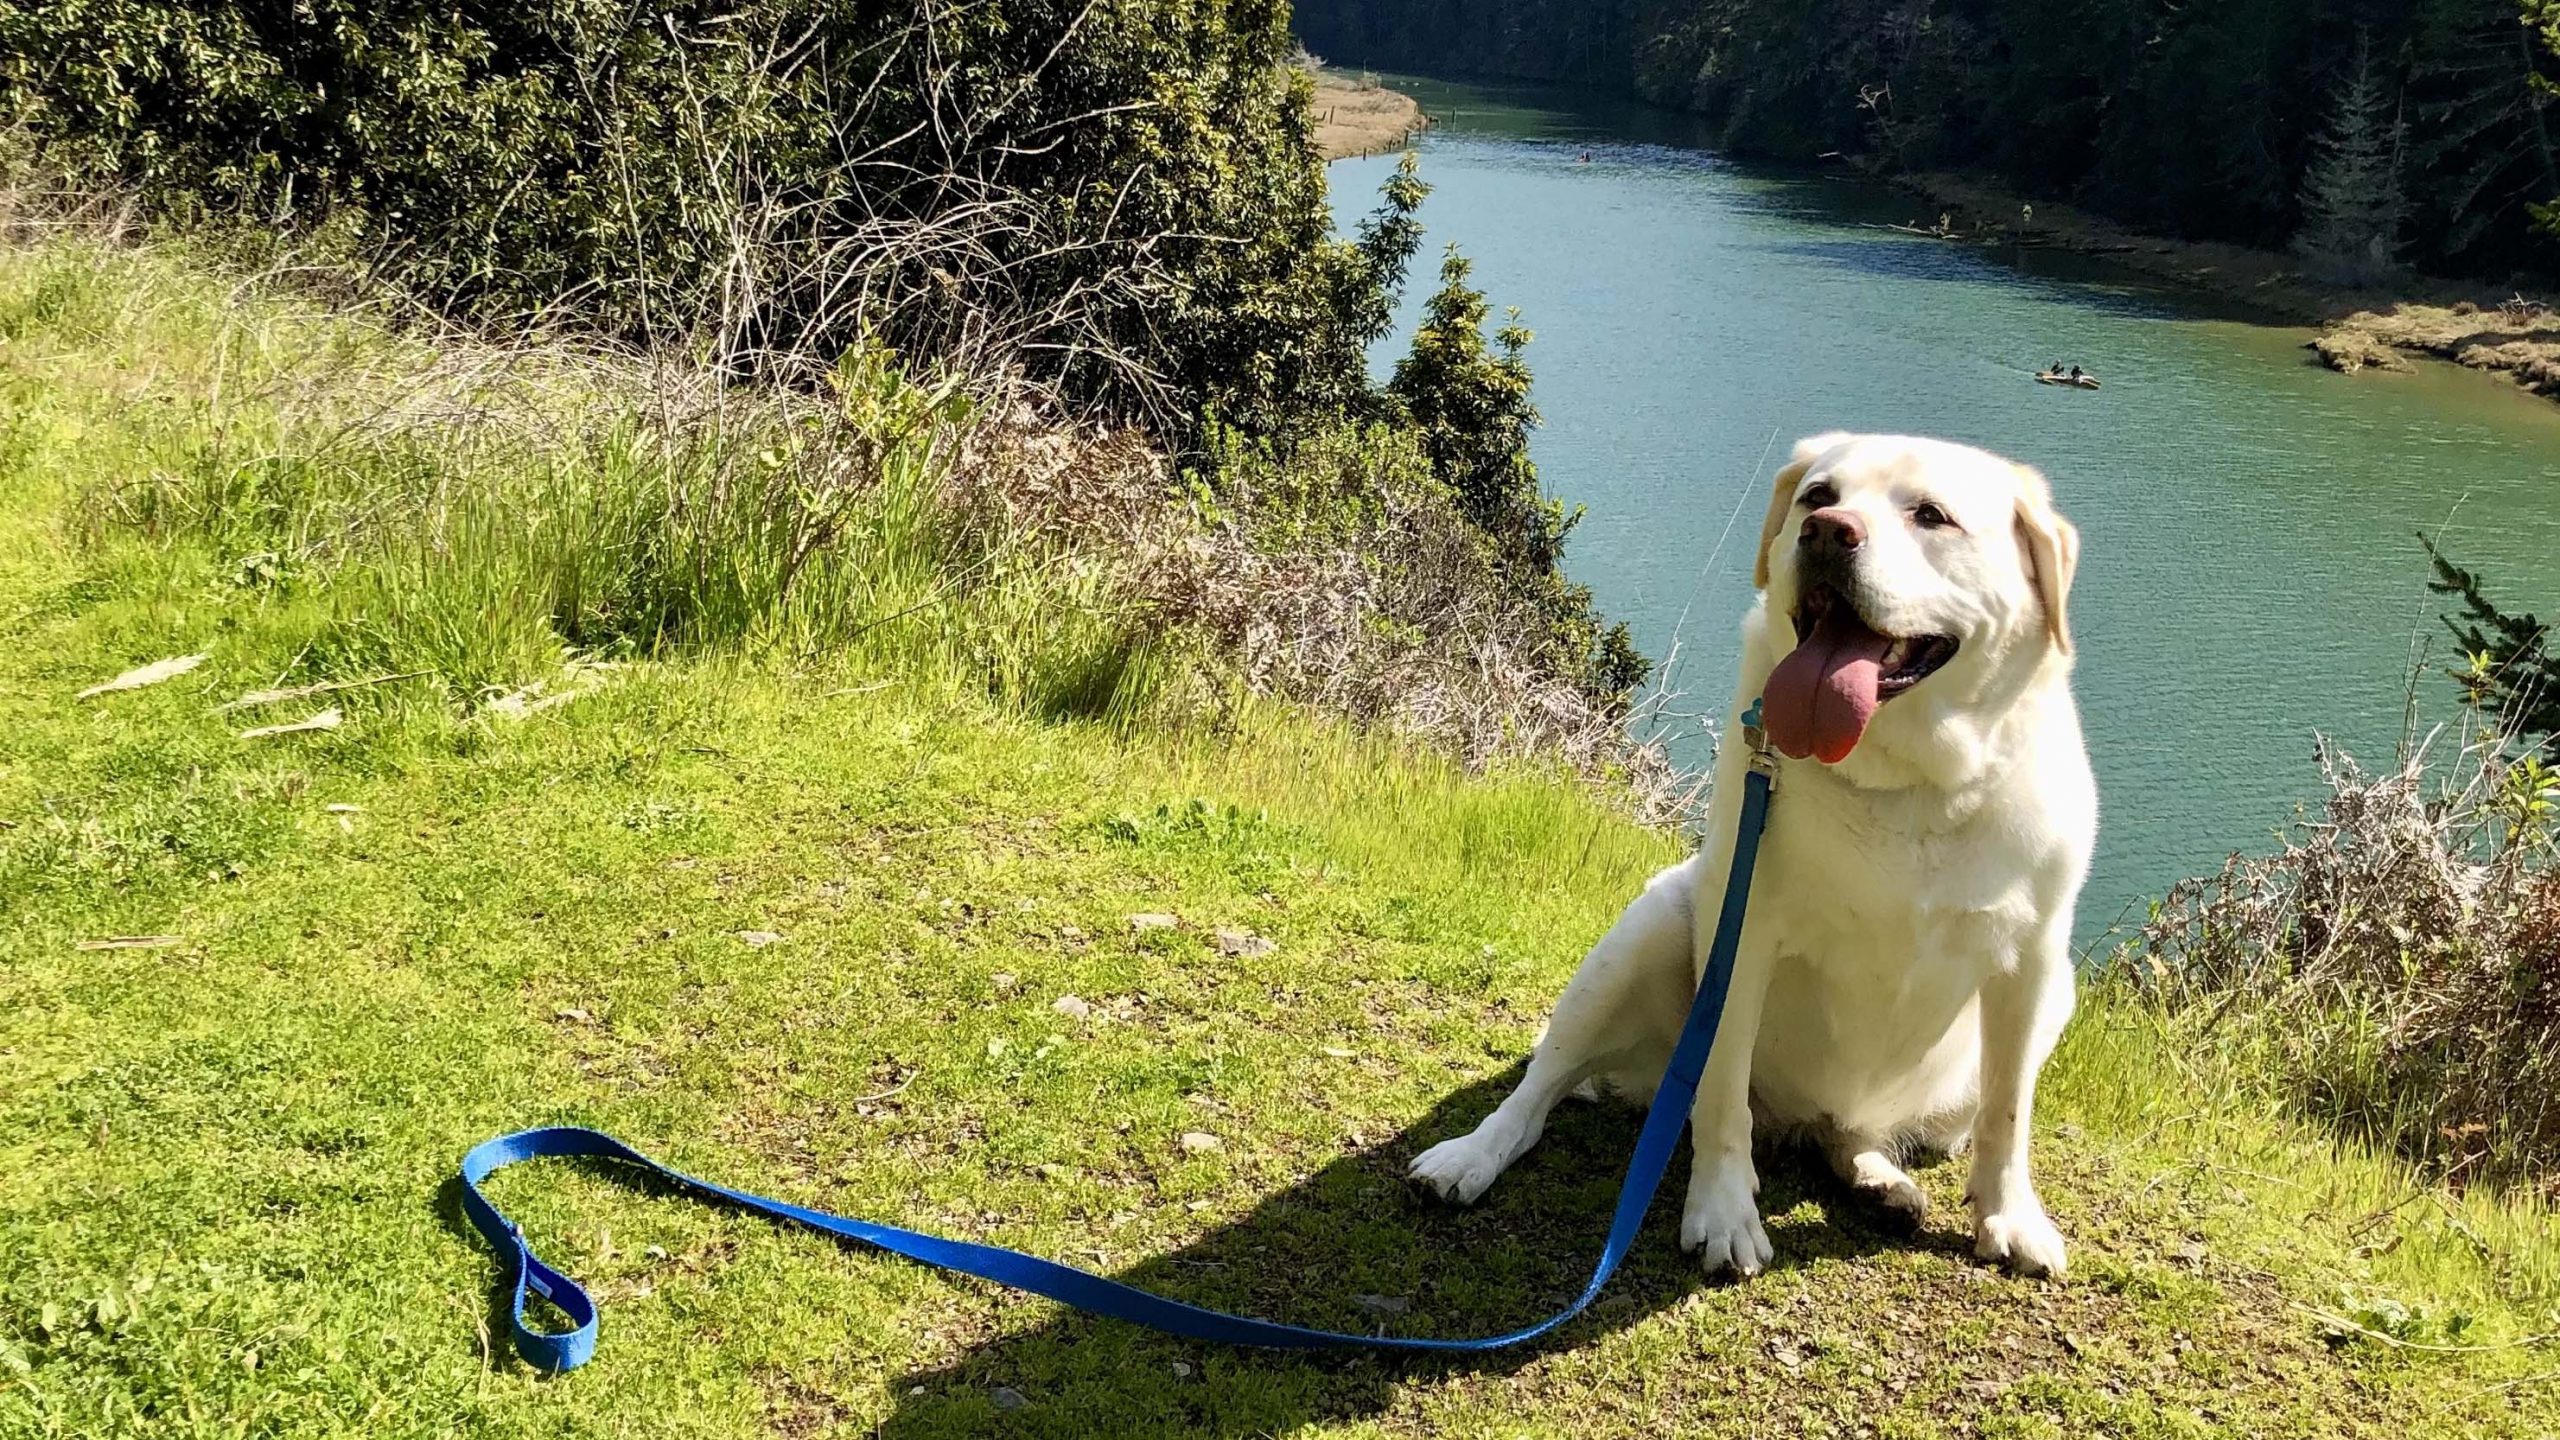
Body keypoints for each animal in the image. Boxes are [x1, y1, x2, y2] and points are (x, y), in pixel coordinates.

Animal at [1413, 430, 2088, 1270]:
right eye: (1819, 495)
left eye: (1931, 514)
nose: (1828, 532)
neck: (1905, 784)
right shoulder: (1745, 934)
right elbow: (1720, 1095)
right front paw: (1723, 1210)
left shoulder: (2033, 961)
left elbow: (2008, 1112)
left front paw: (2010, 1216)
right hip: (1645, 931)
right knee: (1542, 1089)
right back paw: (1469, 1157)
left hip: (2054, 998)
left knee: (1852, 1131)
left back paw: (1880, 1180)